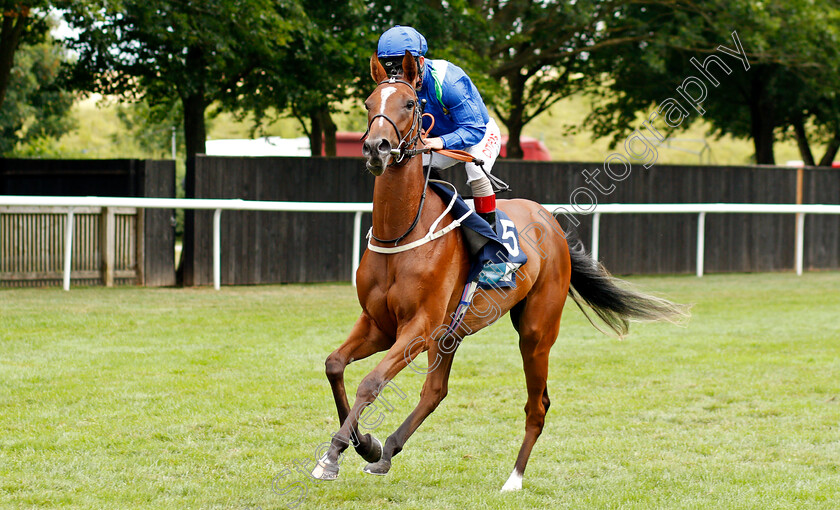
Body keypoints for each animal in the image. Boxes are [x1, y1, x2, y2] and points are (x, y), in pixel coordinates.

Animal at [312, 50, 684, 490]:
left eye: (409, 104)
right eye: (369, 103)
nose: (376, 147)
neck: (399, 234)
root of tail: (550, 221)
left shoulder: (417, 328)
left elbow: (371, 381)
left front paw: (337, 453)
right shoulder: (379, 324)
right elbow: (335, 365)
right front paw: (360, 445)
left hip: (535, 331)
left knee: (536, 404)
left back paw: (514, 478)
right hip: (451, 334)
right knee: (435, 391)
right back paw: (387, 451)